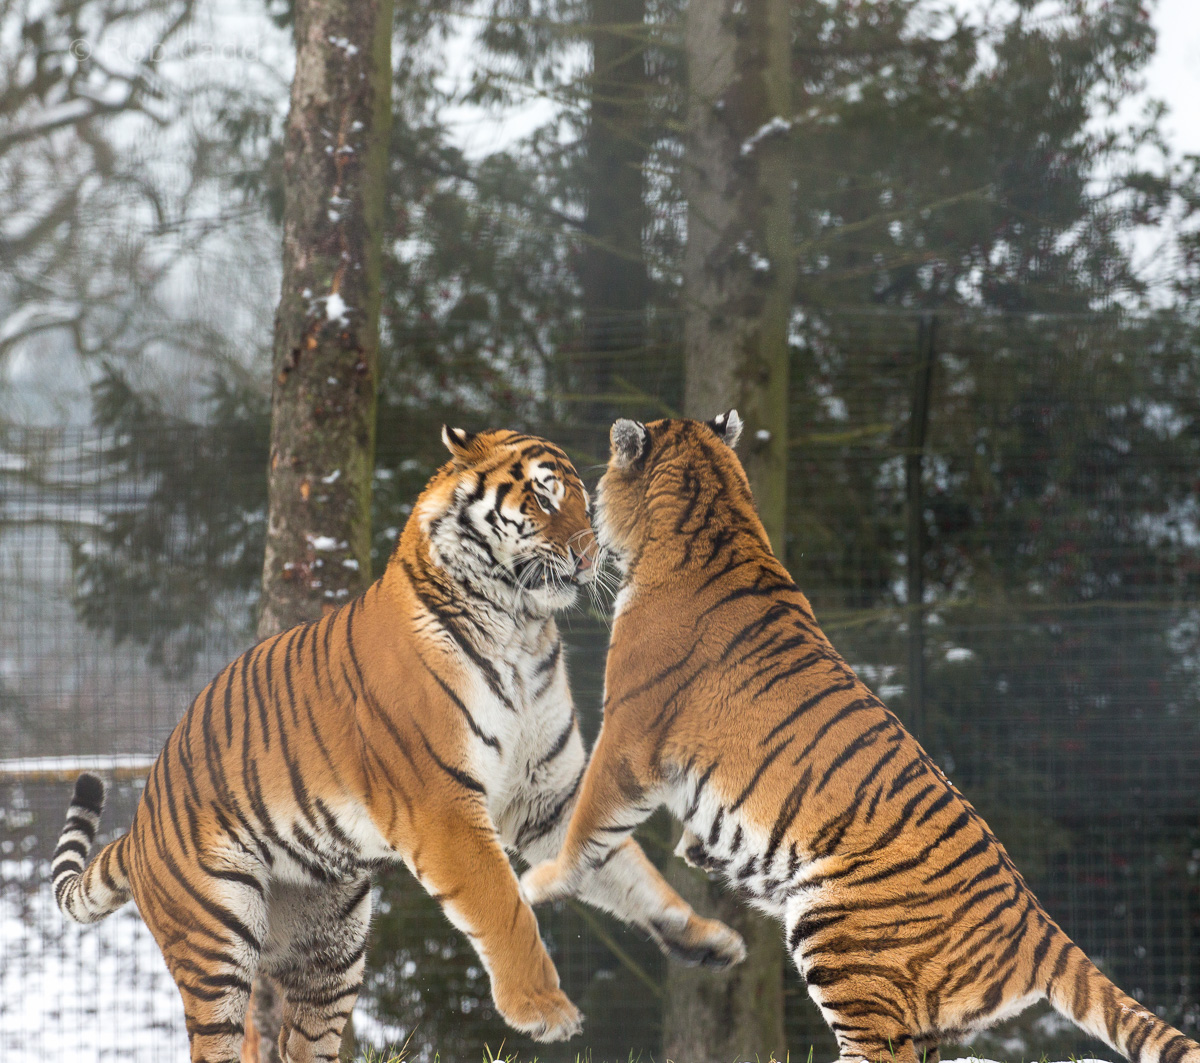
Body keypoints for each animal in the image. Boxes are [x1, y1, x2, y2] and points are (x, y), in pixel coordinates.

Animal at [53, 425, 746, 1063]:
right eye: (544, 498)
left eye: (583, 499)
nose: (589, 555)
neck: (521, 628)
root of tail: (139, 826)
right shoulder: (443, 806)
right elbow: (503, 905)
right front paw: (542, 1010)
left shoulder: (545, 796)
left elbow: (622, 867)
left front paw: (703, 937)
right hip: (217, 938)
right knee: (216, 1042)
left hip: (333, 945)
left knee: (301, 1043)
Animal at [521, 411, 1200, 1063]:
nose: (585, 540)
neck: (718, 516)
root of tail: (1037, 926)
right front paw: (698, 850)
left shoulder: (627, 738)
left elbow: (586, 822)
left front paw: (544, 882)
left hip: (834, 933)